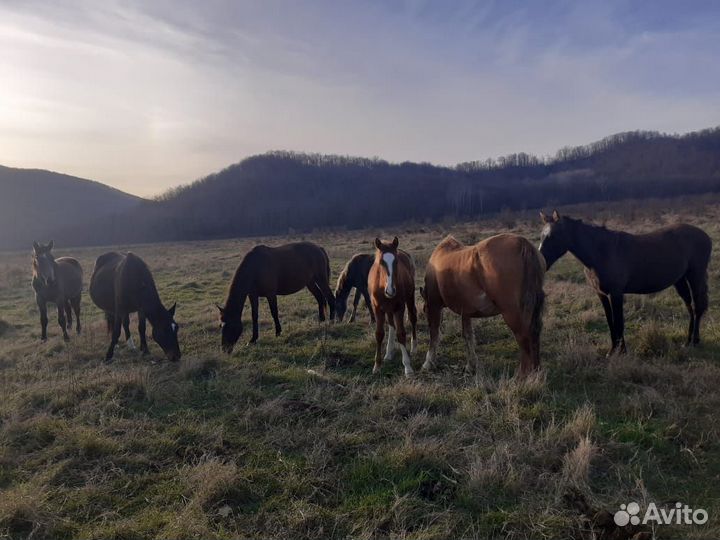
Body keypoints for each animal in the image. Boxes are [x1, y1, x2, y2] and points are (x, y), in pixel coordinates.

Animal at [368, 237, 418, 377]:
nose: (390, 290)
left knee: (412, 317)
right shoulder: (377, 309)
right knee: (391, 324)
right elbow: (379, 334)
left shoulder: (399, 308)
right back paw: (389, 353)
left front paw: (407, 367)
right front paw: (377, 365)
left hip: (409, 298)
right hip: (388, 309)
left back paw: (413, 347)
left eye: (396, 261)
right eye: (381, 262)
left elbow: (401, 334)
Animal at [421, 234, 545, 377]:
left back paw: (523, 375)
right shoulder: (465, 311)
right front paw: (471, 365)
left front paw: (428, 363)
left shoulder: (434, 304)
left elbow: (434, 333)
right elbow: (468, 335)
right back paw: (537, 372)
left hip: (513, 313)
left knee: (524, 337)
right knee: (534, 335)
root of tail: (522, 244)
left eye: (425, 310)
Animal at [539, 210, 712, 354]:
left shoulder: (616, 294)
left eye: (552, 236)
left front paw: (621, 351)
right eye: (541, 235)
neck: (601, 252)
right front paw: (612, 350)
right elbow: (610, 321)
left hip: (695, 276)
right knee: (690, 306)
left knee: (697, 306)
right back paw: (687, 341)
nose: (541, 263)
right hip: (680, 280)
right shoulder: (602, 295)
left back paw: (694, 341)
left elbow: (619, 322)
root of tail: (705, 236)